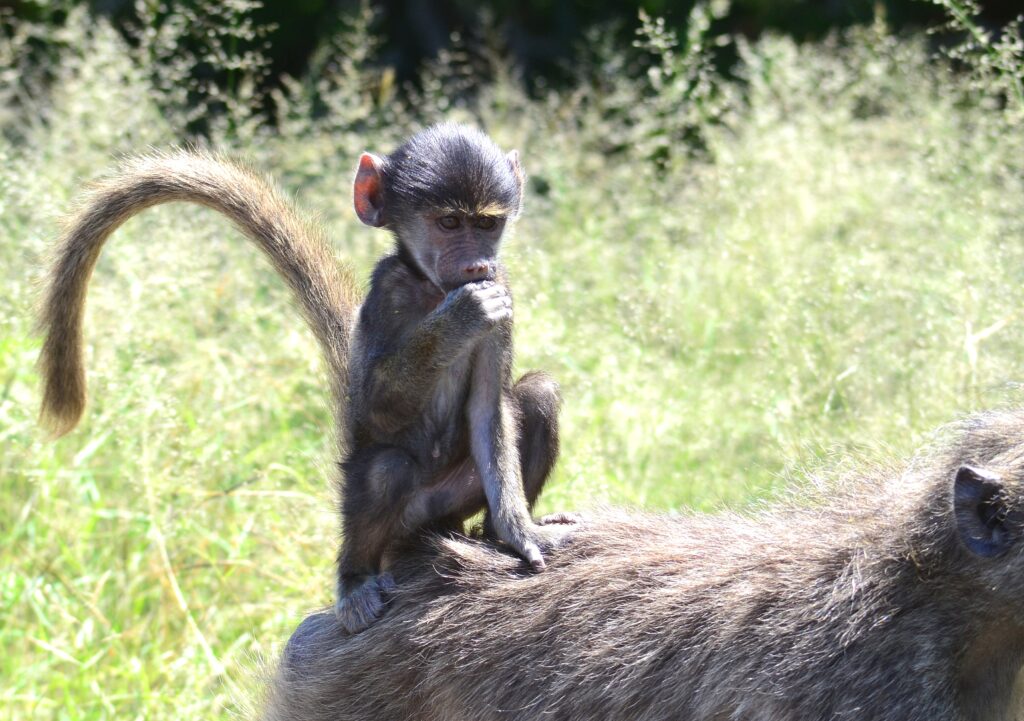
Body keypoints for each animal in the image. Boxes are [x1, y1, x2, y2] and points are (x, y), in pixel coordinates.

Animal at [37, 124, 575, 636]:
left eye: (487, 223)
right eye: (449, 223)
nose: (476, 264)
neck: (431, 288)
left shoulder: (503, 290)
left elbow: (490, 410)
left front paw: (518, 532)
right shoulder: (389, 291)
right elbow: (375, 407)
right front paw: (462, 315)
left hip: (448, 507)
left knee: (537, 397)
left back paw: (492, 536)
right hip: (403, 518)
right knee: (385, 467)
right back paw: (354, 578)